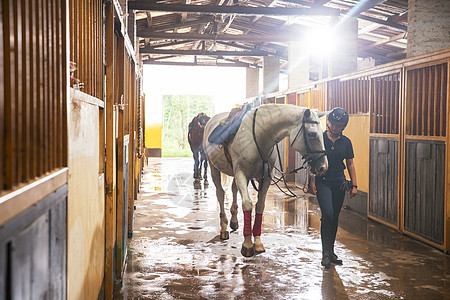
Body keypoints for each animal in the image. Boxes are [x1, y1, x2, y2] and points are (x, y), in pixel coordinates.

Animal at [203, 104, 326, 256]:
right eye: (312, 134)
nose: (323, 167)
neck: (259, 138)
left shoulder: (265, 179)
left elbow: (260, 206)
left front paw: (257, 243)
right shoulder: (242, 175)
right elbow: (247, 204)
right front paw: (247, 244)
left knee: (233, 190)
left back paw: (234, 221)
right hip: (214, 168)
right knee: (220, 194)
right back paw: (224, 228)